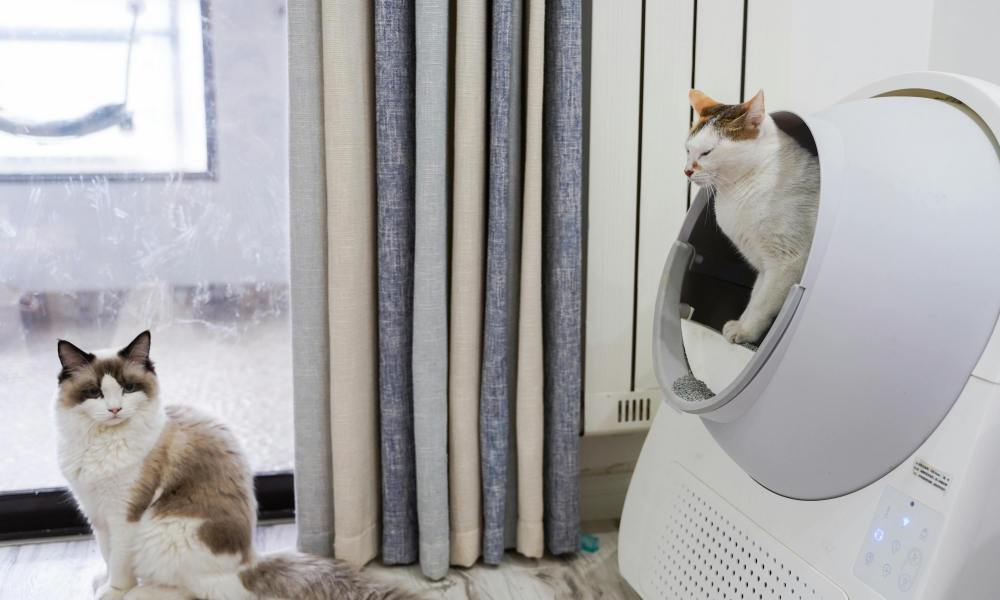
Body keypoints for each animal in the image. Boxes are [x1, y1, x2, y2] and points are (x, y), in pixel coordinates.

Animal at [55, 332, 414, 600]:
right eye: (94, 393)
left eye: (128, 389)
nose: (115, 410)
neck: (102, 444)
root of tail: (249, 563)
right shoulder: (97, 514)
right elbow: (107, 555)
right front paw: (102, 582)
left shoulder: (124, 516)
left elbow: (119, 565)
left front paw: (112, 592)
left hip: (161, 530)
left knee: (195, 590)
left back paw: (141, 594)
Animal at [688, 88, 820, 342]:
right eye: (688, 150)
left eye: (706, 152)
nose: (687, 170)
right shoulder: (762, 265)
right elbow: (755, 296)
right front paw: (740, 324)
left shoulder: (787, 261)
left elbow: (762, 303)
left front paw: (746, 332)